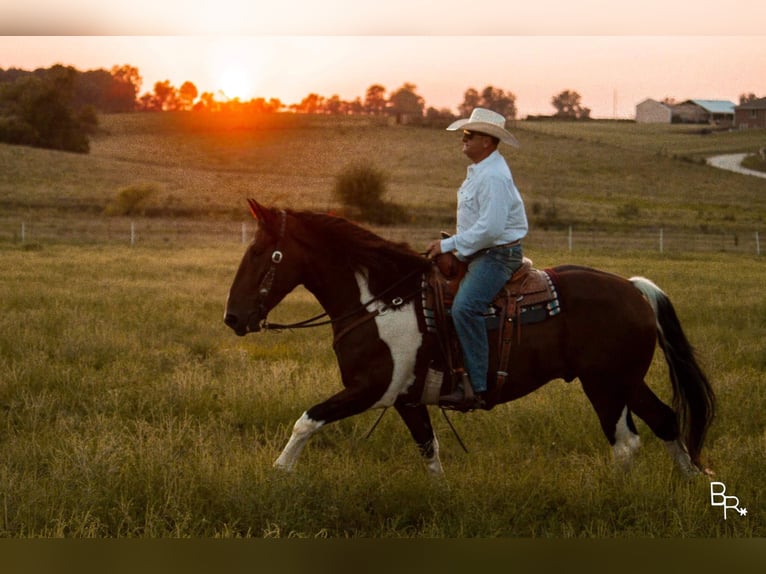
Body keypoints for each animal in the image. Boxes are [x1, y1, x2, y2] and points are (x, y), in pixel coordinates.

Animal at [225, 200, 716, 480]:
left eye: (262, 253)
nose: (233, 318)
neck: (380, 299)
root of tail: (634, 288)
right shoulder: (406, 398)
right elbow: (429, 450)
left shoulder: (370, 389)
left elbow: (307, 420)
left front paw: (278, 474)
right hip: (627, 381)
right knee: (666, 421)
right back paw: (691, 484)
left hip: (606, 386)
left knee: (625, 443)